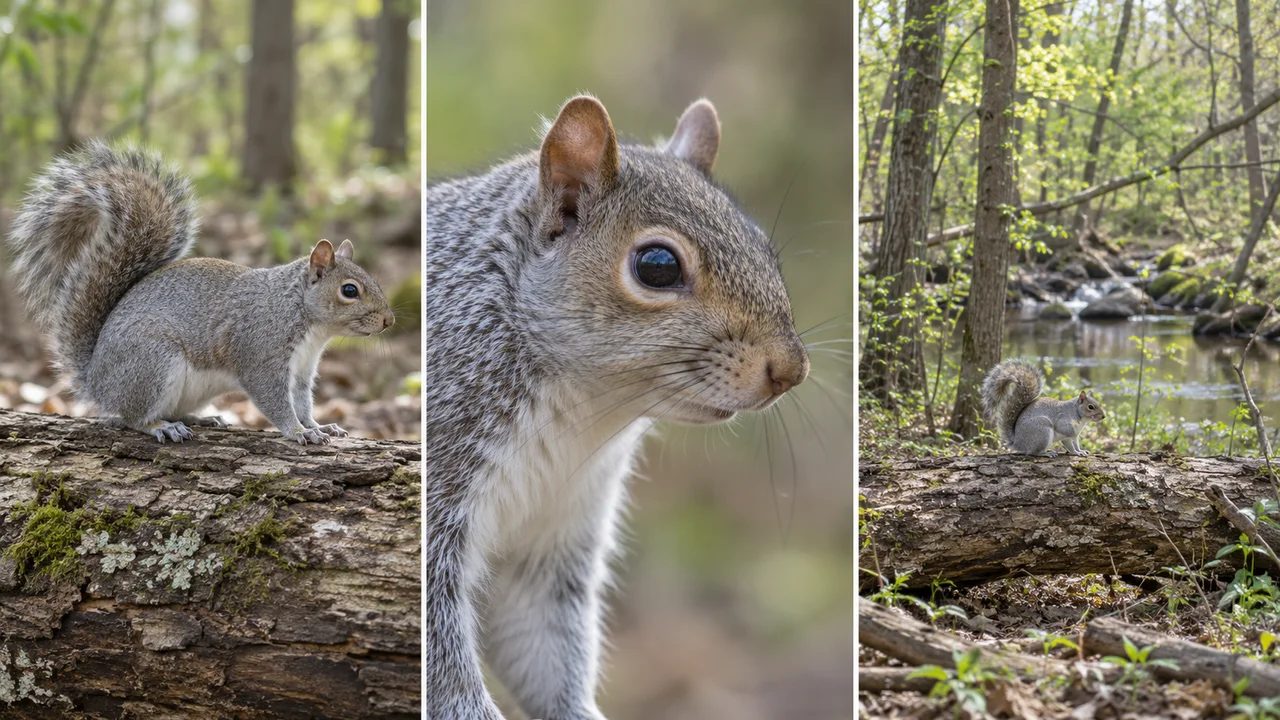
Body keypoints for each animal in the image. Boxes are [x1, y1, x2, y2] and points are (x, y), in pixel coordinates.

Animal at [6, 141, 394, 444]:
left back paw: (202, 418)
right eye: (349, 290)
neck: (303, 316)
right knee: (132, 418)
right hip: (152, 362)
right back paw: (161, 426)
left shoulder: (301, 370)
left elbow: (302, 402)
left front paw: (318, 425)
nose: (389, 320)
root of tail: (97, 381)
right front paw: (298, 432)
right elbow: (274, 400)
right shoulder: (261, 353)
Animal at [425, 95, 809, 719]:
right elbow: (443, 662)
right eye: (657, 266)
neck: (581, 414)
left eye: (764, 248)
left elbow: (543, 644)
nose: (790, 371)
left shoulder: (554, 539)